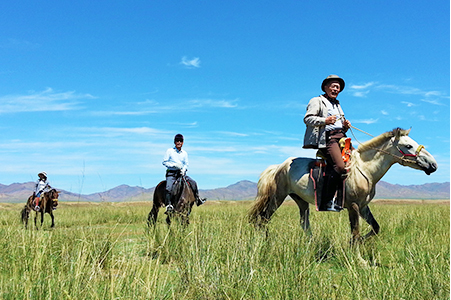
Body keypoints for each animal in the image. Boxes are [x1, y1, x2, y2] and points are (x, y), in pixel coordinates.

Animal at [249, 127, 440, 243]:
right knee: (263, 219)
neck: (364, 169)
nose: (433, 164)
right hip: (277, 197)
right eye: (408, 145)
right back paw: (264, 242)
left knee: (304, 223)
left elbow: (375, 228)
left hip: (300, 200)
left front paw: (359, 241)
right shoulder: (353, 206)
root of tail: (279, 166)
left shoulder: (363, 206)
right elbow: (355, 232)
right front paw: (360, 260)